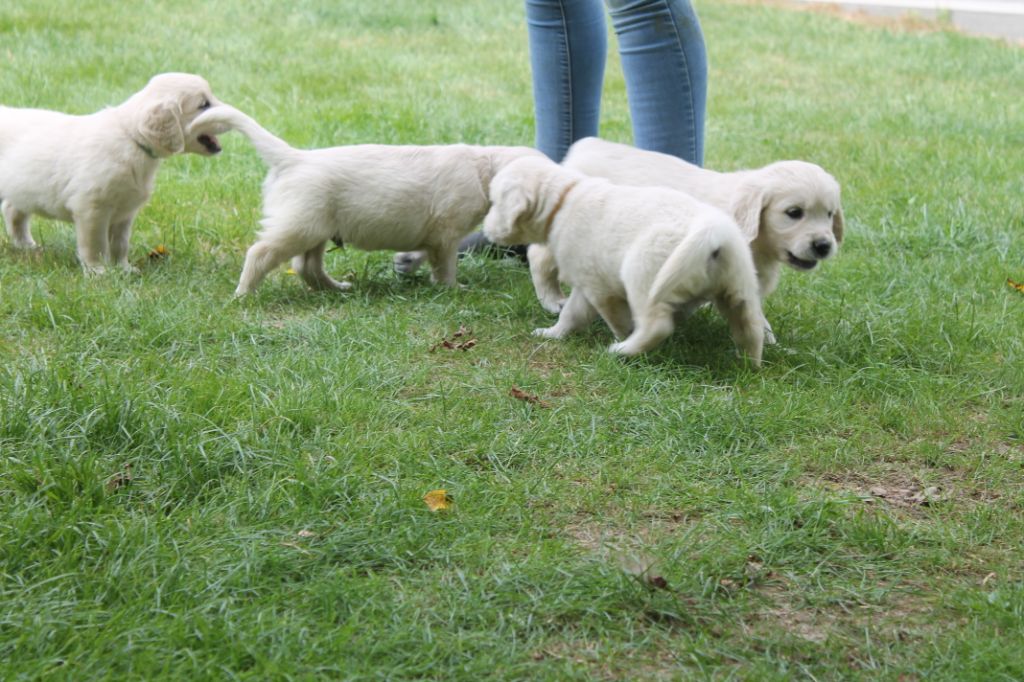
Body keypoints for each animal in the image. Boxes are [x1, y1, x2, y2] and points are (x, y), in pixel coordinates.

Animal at [0, 73, 225, 270]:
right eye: (203, 104)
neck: (132, 139)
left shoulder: (125, 212)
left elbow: (120, 243)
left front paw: (122, 269)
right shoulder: (91, 209)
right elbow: (95, 245)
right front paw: (98, 271)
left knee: (12, 209)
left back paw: (26, 246)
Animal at [191, 104, 544, 294]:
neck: (483, 168)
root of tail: (293, 158)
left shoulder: (433, 234)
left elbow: (422, 251)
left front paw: (407, 263)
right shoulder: (446, 233)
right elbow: (445, 265)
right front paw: (453, 289)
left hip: (316, 227)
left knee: (307, 266)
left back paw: (336, 289)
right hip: (298, 226)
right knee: (261, 253)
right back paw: (244, 293)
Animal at [483, 155, 765, 364]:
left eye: (495, 202)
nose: (485, 230)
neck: (563, 199)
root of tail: (712, 230)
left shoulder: (598, 288)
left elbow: (614, 318)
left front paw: (620, 337)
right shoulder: (586, 285)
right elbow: (571, 314)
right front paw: (553, 334)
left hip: (643, 273)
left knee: (656, 326)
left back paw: (624, 350)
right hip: (739, 286)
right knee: (750, 327)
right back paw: (748, 363)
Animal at [532, 136, 843, 342]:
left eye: (829, 214)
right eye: (794, 213)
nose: (823, 246)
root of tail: (586, 145)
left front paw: (765, 336)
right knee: (539, 256)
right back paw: (551, 299)